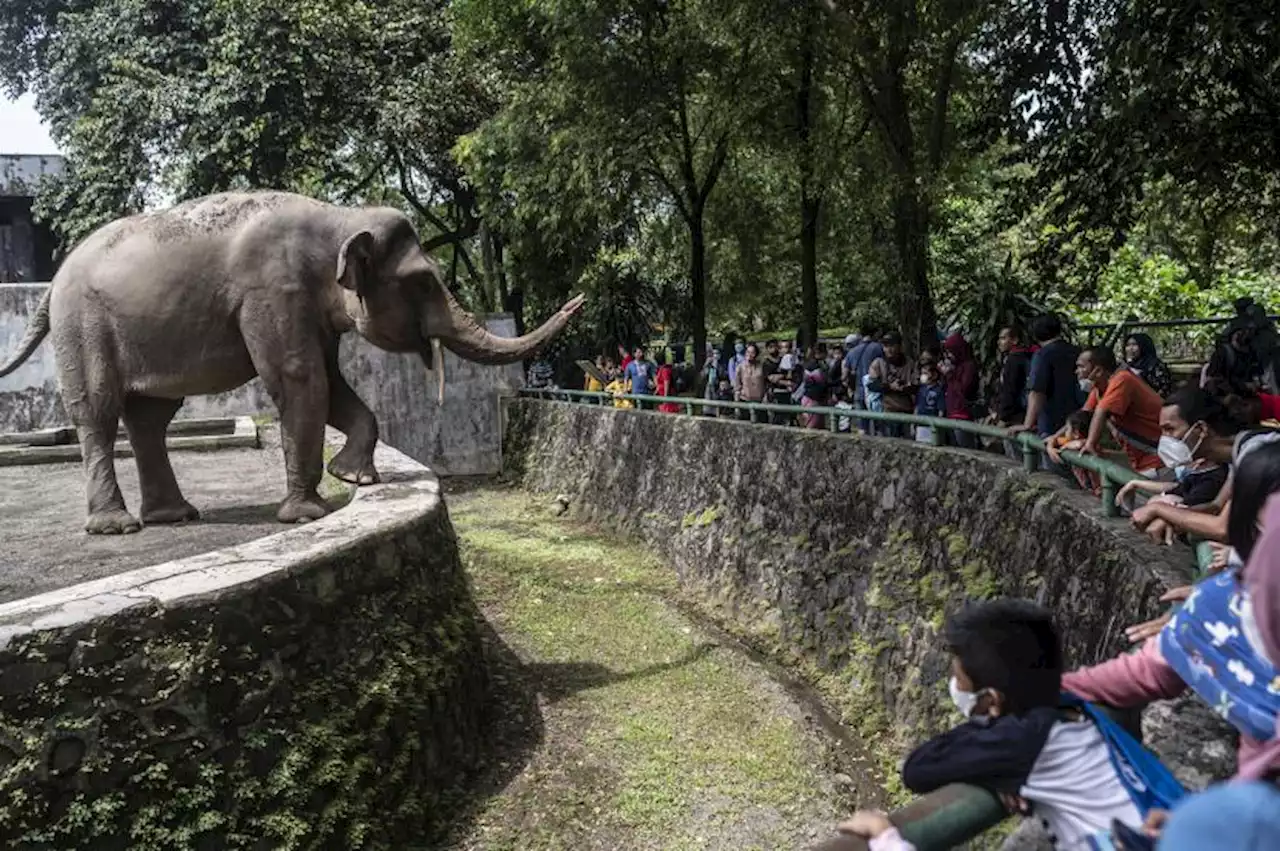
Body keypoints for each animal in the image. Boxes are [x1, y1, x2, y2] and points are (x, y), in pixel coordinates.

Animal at [0, 193, 586, 537]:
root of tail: (52, 284)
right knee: (98, 412)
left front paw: (354, 476)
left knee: (150, 417)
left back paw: (174, 516)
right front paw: (309, 514)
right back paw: (116, 526)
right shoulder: (273, 292)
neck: (338, 218)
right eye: (422, 282)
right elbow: (301, 380)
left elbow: (333, 384)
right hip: (83, 327)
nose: (579, 299)